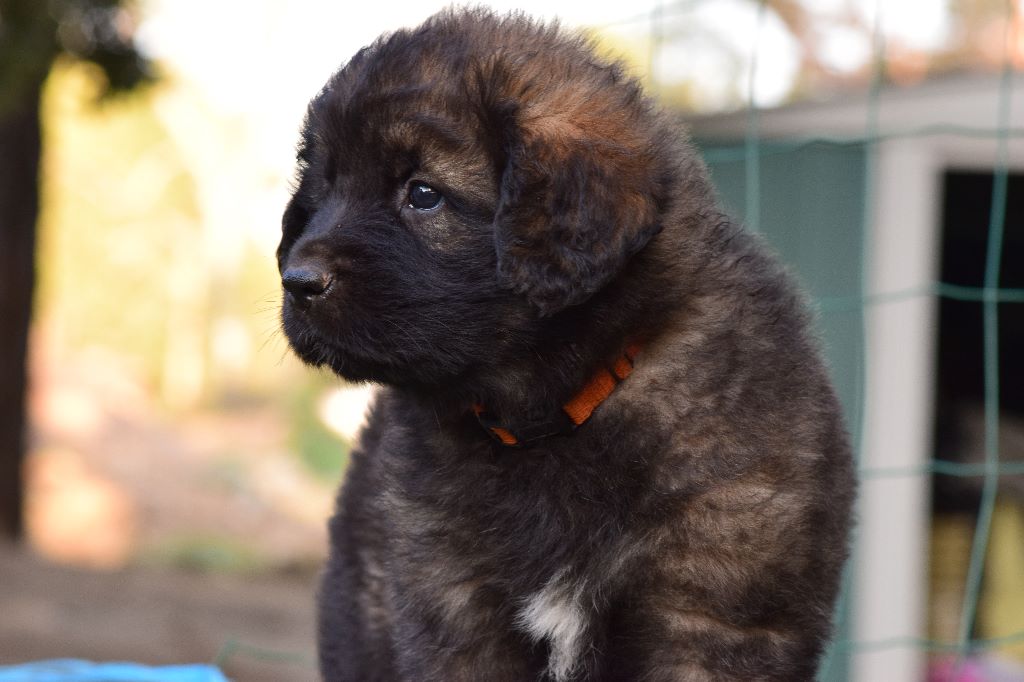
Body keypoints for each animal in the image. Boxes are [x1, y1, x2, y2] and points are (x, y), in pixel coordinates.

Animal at [278, 9, 855, 681]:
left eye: (424, 194)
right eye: (322, 193)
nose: (297, 280)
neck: (557, 413)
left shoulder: (708, 620)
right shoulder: (453, 611)